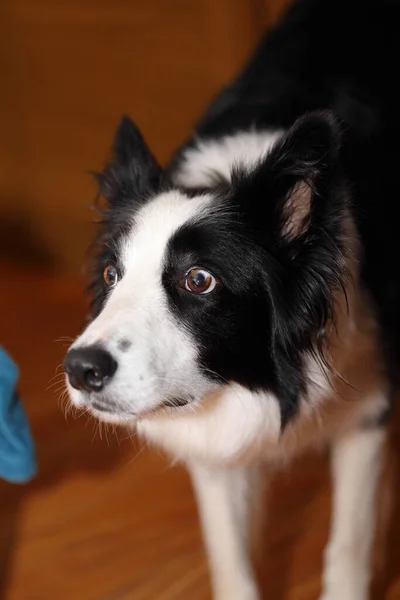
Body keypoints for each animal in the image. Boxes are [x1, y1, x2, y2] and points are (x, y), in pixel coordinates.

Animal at [61, 2, 400, 596]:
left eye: (199, 280)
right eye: (111, 273)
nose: (80, 370)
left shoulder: (368, 411)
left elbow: (348, 545)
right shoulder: (214, 442)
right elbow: (230, 555)